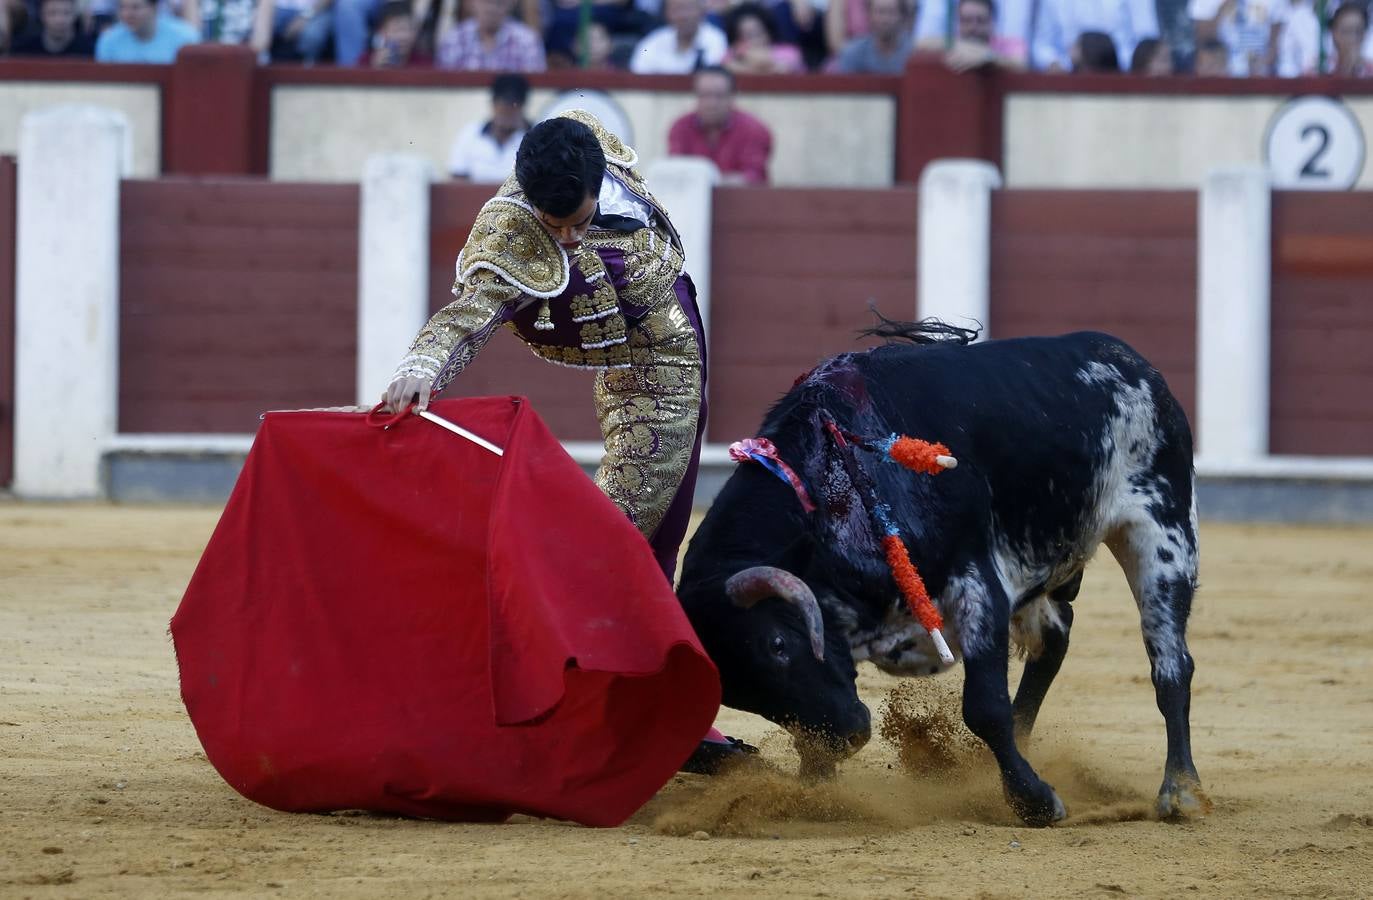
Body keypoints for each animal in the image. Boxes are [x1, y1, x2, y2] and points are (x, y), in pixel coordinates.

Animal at [681, 320, 1208, 829]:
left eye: (777, 645)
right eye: (737, 694)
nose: (850, 735)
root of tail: (1133, 362)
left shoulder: (976, 581)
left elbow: (985, 706)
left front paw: (1035, 802)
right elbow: (808, 734)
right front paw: (813, 798)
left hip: (1162, 532)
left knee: (1171, 665)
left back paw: (1180, 791)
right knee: (1054, 642)